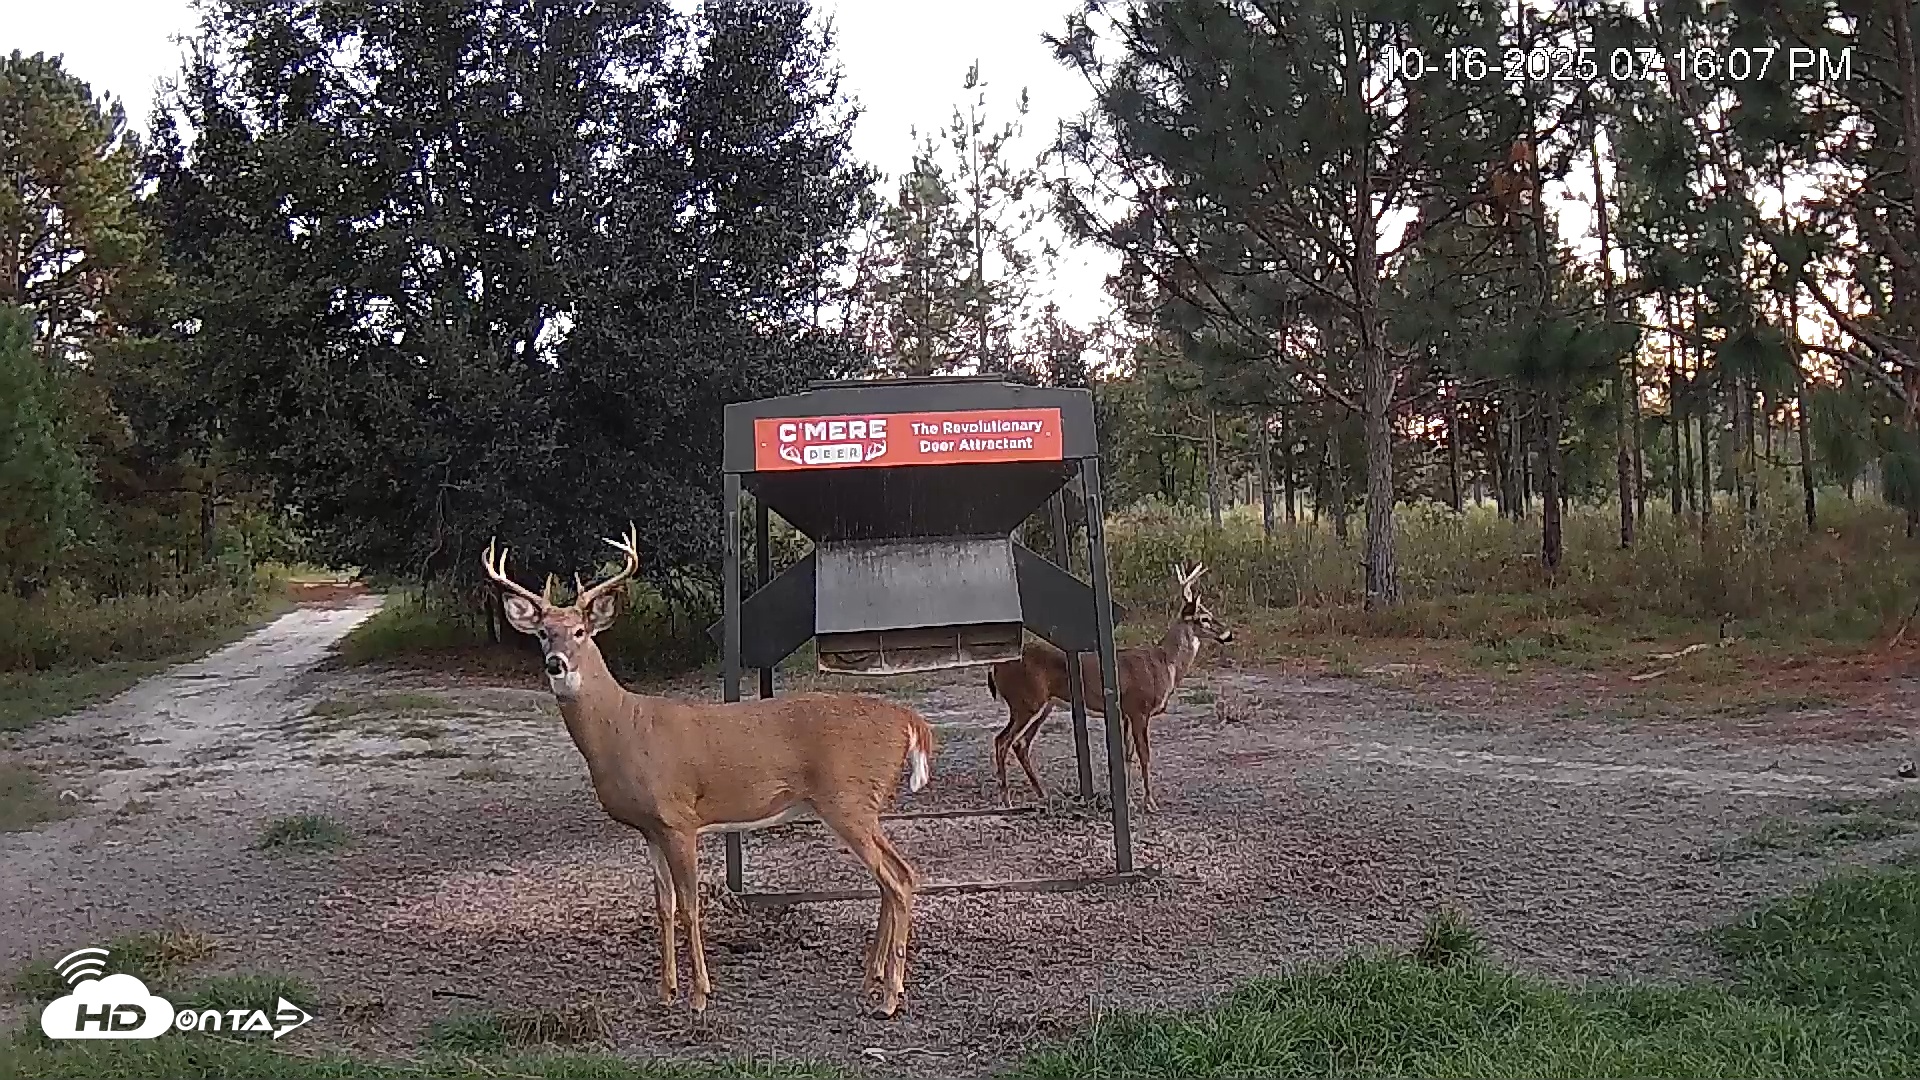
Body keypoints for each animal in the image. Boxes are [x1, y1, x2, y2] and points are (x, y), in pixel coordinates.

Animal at [480, 525, 936, 1018]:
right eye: (543, 633)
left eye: (580, 631)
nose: (556, 663)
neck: (624, 729)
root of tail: (910, 720)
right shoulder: (649, 829)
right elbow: (662, 906)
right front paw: (665, 991)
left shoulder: (679, 818)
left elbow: (689, 905)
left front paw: (699, 995)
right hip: (862, 805)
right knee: (896, 878)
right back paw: (872, 982)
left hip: (848, 800)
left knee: (898, 879)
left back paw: (889, 995)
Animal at [986, 562, 1232, 814]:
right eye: (1203, 618)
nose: (1228, 634)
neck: (1165, 664)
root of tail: (995, 667)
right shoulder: (1139, 709)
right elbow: (1144, 755)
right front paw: (1149, 802)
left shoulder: (1125, 713)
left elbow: (1127, 755)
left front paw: (1129, 801)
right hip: (1025, 701)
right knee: (1002, 741)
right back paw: (1007, 801)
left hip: (1044, 705)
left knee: (1020, 744)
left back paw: (1042, 794)